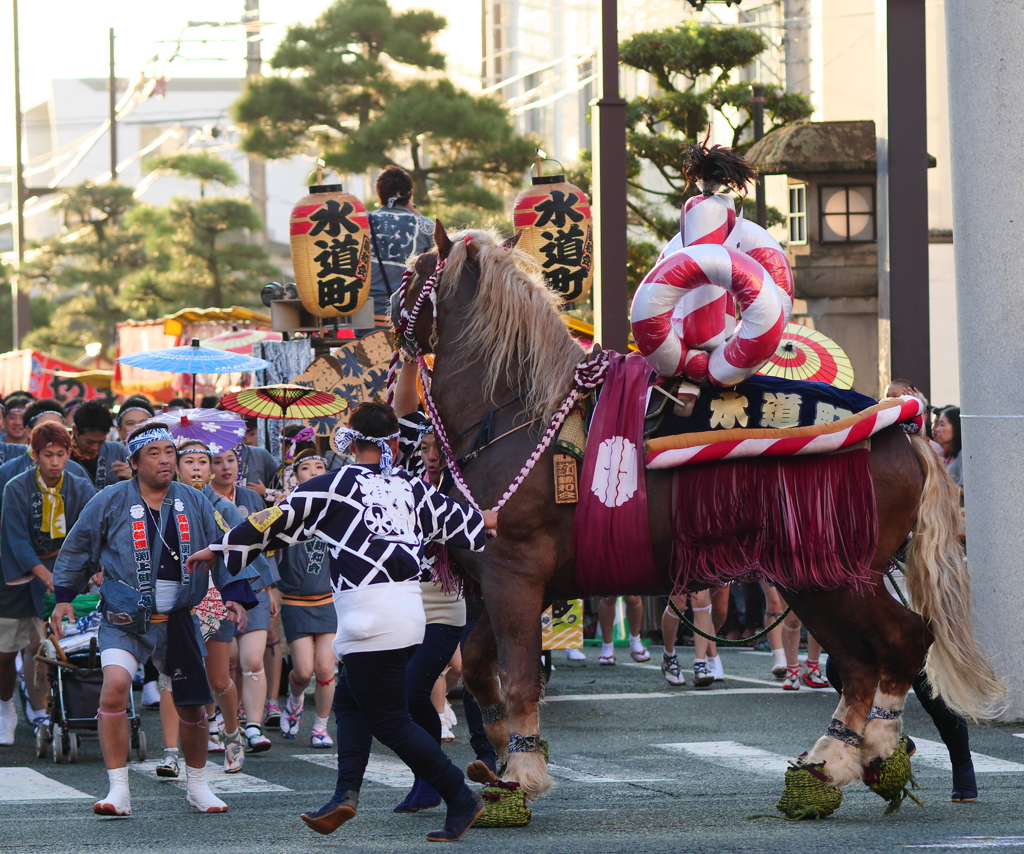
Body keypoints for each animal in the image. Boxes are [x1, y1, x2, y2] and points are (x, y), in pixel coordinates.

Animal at [393, 210, 1007, 810]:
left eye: (410, 273)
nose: (393, 316)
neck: (510, 415)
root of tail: (905, 429)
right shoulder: (499, 585)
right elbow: (478, 669)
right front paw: (499, 757)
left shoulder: (515, 575)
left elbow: (518, 676)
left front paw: (522, 773)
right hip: (812, 578)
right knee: (858, 663)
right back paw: (829, 765)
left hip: (838, 573)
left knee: (901, 642)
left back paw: (875, 747)